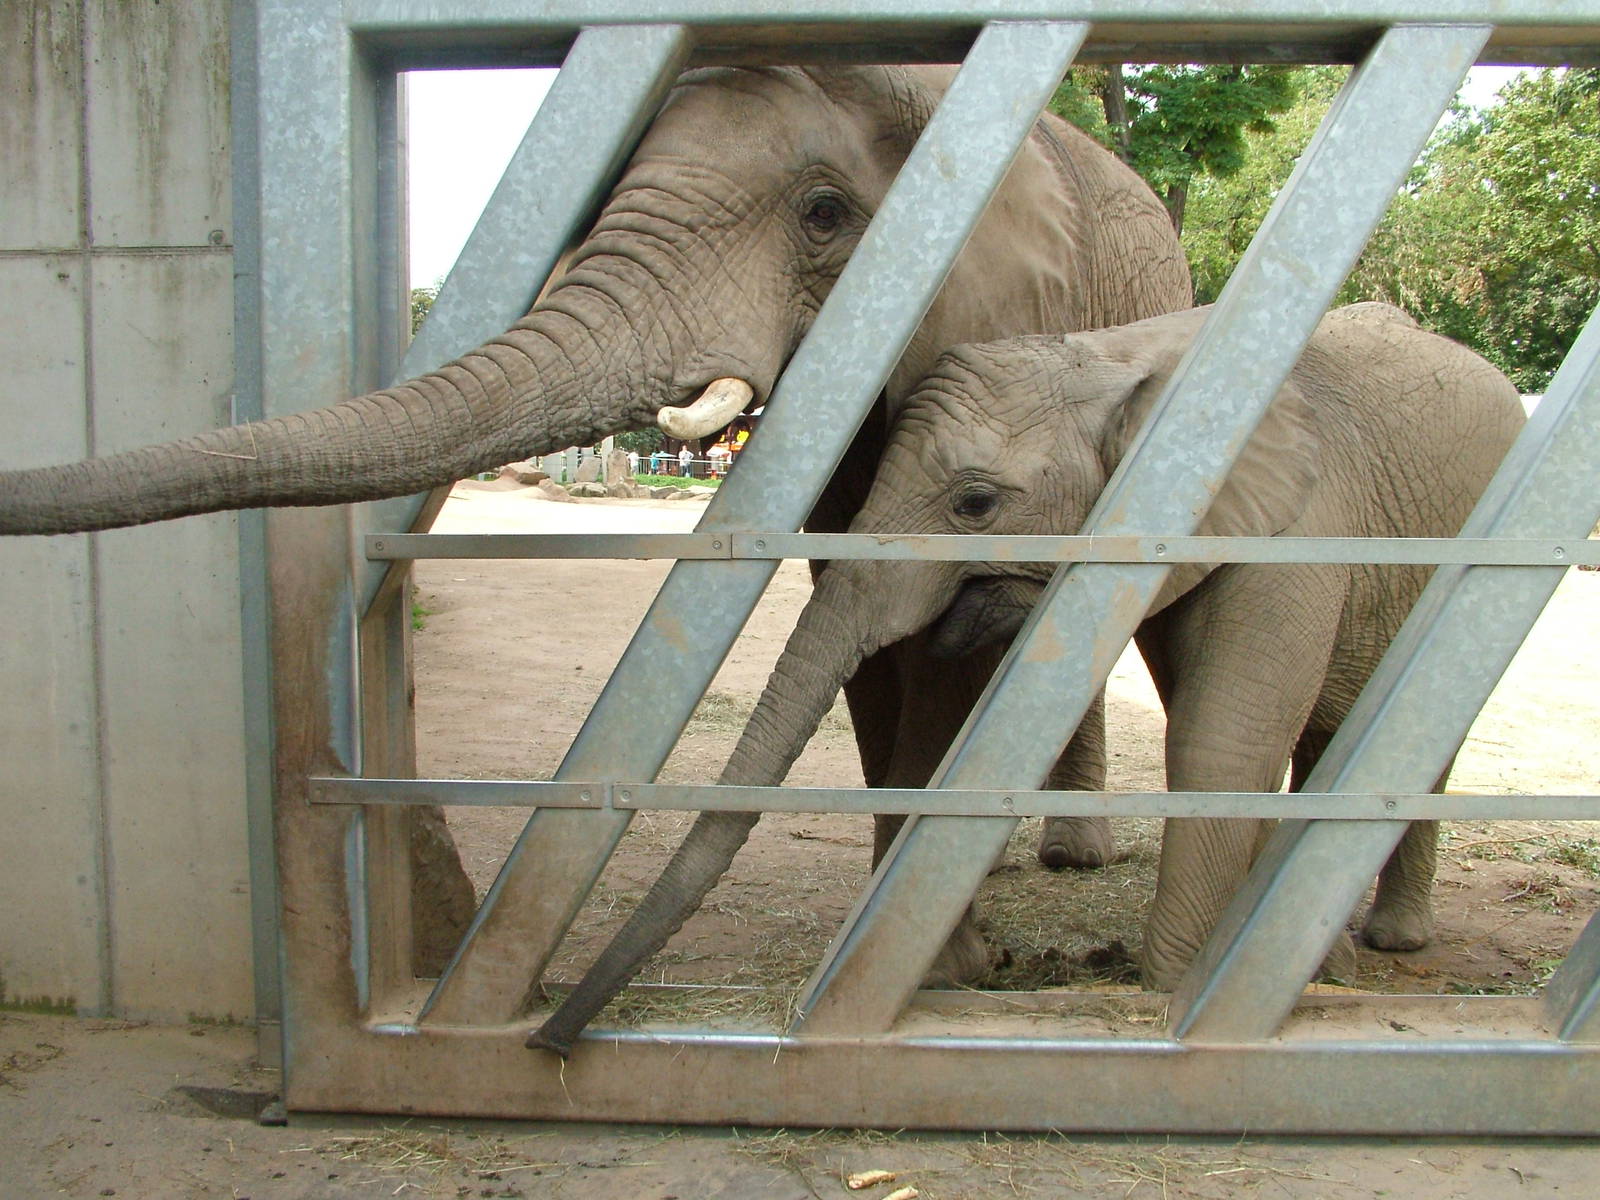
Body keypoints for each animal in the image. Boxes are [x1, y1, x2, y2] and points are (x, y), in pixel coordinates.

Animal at [527, 301, 1527, 1055]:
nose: (552, 1034)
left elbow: (1224, 735)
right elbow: (1204, 713)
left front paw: (1173, 988)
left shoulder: (1299, 524)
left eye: (975, 504)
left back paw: (1386, 942)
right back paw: (1338, 957)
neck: (1116, 358)